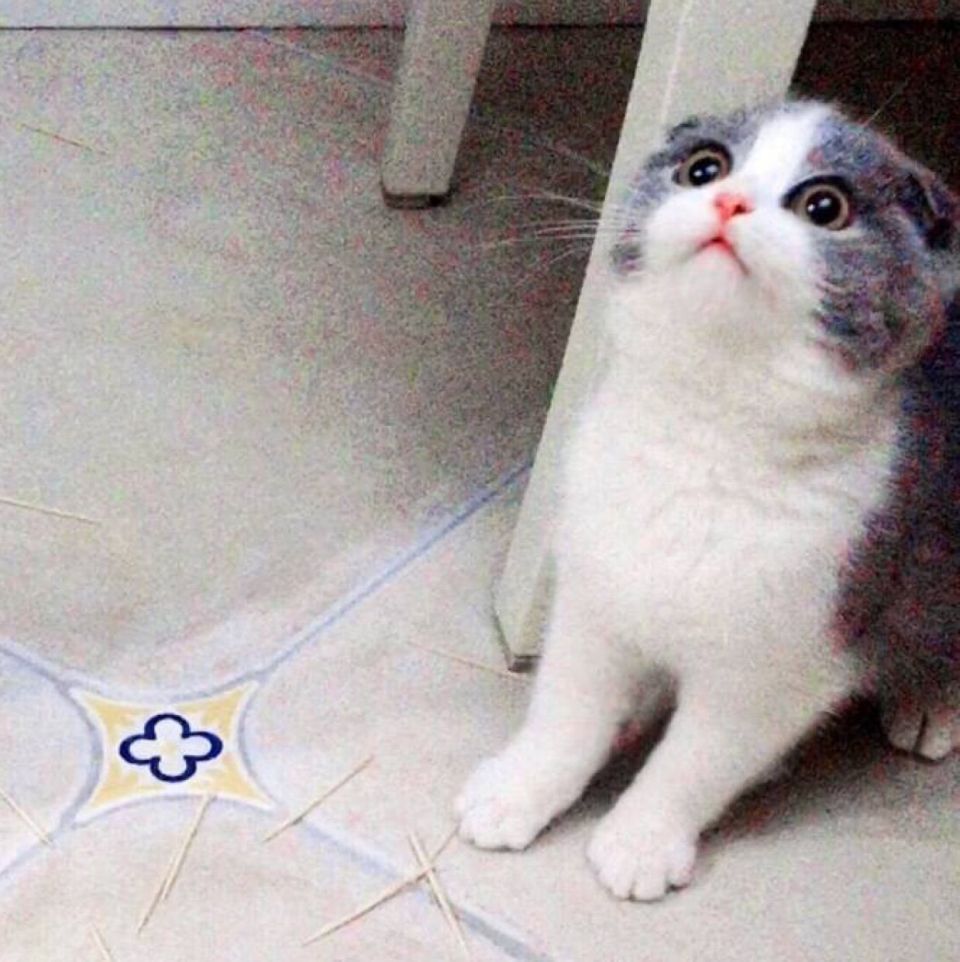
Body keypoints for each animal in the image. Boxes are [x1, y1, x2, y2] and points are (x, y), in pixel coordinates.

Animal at [455, 99, 959, 901]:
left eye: (825, 206)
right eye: (704, 167)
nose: (730, 203)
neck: (704, 437)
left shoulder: (786, 655)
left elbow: (697, 760)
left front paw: (639, 841)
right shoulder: (595, 588)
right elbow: (569, 709)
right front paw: (518, 790)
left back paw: (927, 702)